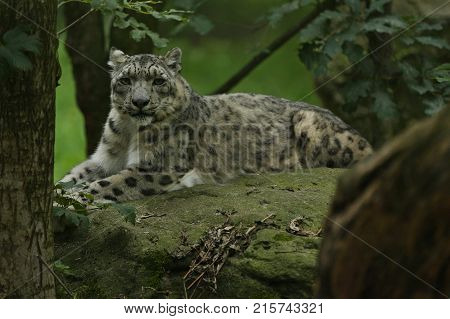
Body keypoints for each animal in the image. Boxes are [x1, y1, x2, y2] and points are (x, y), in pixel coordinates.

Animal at [59, 47, 372, 202]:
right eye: (125, 79)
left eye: (158, 80)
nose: (139, 102)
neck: (129, 131)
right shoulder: (104, 157)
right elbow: (77, 174)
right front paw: (60, 191)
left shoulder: (158, 166)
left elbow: (110, 183)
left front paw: (76, 199)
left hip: (311, 124)